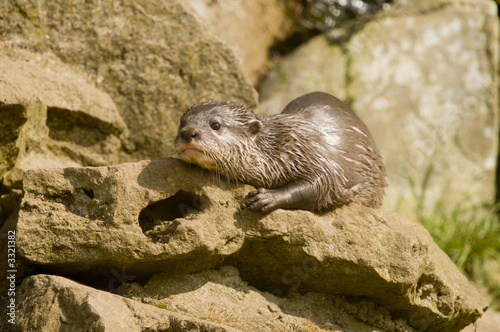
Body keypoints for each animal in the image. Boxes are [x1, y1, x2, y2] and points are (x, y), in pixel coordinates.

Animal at [174, 91, 388, 213]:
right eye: (181, 124)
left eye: (216, 125)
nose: (188, 133)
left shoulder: (313, 155)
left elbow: (323, 184)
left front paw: (267, 197)